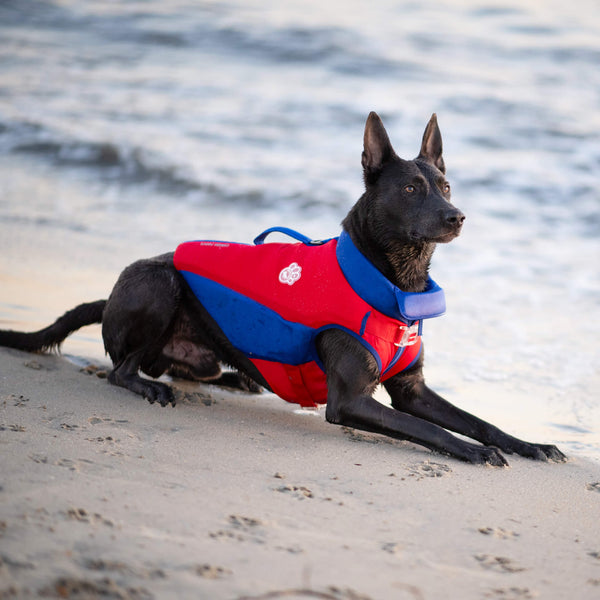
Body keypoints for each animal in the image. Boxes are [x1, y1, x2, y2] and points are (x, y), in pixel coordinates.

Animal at [0, 113, 564, 468]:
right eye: (410, 189)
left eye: (445, 187)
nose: (457, 216)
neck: (391, 279)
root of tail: (109, 296)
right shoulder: (351, 401)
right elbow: (435, 432)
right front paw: (474, 453)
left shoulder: (413, 390)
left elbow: (477, 421)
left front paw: (527, 444)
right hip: (157, 284)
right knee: (121, 369)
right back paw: (150, 386)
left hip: (197, 347)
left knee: (185, 368)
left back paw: (237, 380)